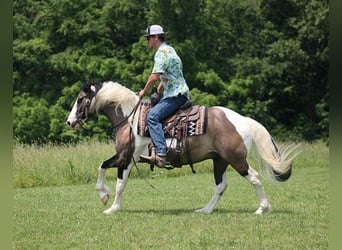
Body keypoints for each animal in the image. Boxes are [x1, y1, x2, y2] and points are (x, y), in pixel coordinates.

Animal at [65, 80, 298, 215]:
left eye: (80, 99)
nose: (69, 122)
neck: (129, 118)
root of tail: (243, 120)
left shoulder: (127, 157)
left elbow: (120, 184)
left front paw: (112, 207)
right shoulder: (124, 156)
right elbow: (102, 166)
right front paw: (103, 196)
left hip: (236, 159)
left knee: (254, 178)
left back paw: (262, 208)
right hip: (220, 160)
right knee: (220, 186)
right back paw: (204, 210)